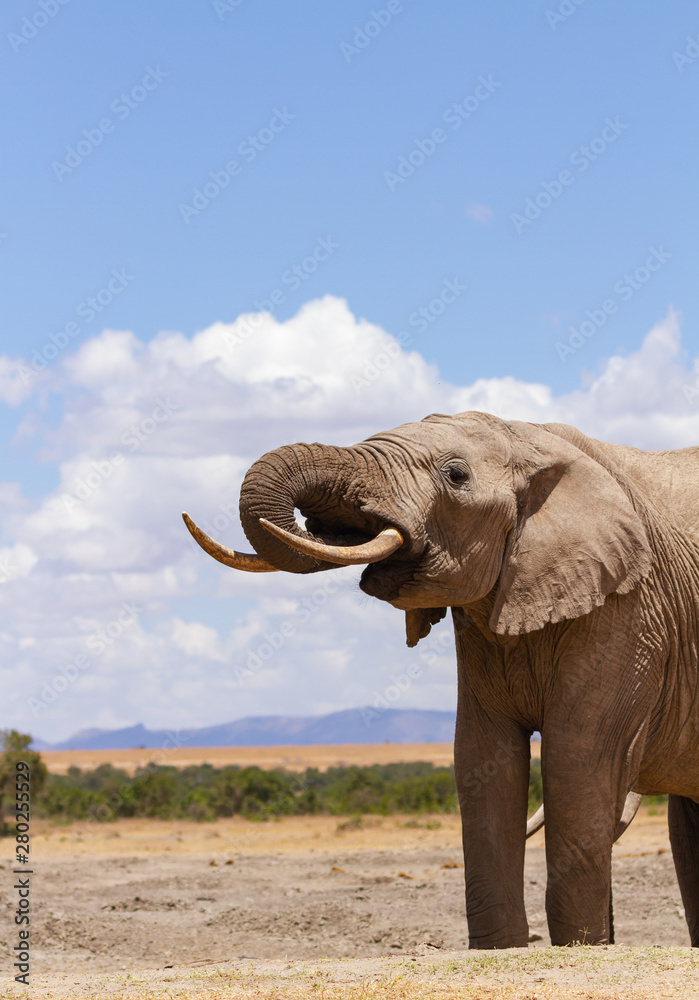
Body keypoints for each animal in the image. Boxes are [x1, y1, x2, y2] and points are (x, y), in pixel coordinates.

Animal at [183, 411, 699, 948]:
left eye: (455, 475)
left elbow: (579, 754)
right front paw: (500, 949)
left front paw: (580, 948)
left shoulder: (633, 607)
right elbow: (482, 755)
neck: (531, 438)